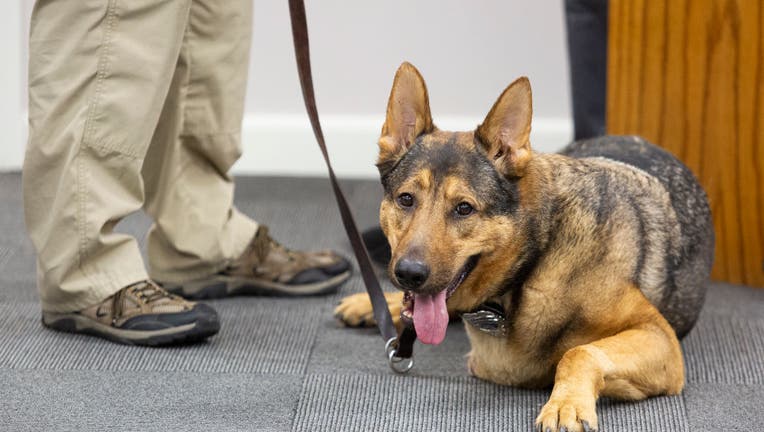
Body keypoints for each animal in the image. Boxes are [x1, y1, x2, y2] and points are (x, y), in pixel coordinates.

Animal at [334, 61, 716, 432]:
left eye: (464, 208)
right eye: (406, 200)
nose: (409, 275)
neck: (534, 259)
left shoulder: (659, 336)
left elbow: (579, 352)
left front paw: (566, 403)